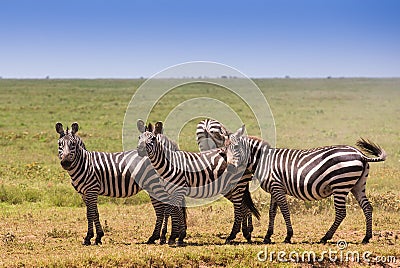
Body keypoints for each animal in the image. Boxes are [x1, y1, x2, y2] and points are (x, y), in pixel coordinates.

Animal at [223, 124, 386, 244]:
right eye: (225, 148)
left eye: (236, 148)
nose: (229, 168)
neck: (263, 161)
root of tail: (360, 154)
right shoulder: (274, 189)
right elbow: (272, 212)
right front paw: (268, 236)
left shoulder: (277, 187)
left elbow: (284, 210)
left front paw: (288, 236)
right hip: (357, 185)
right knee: (367, 207)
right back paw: (366, 237)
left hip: (340, 185)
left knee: (341, 213)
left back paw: (325, 237)